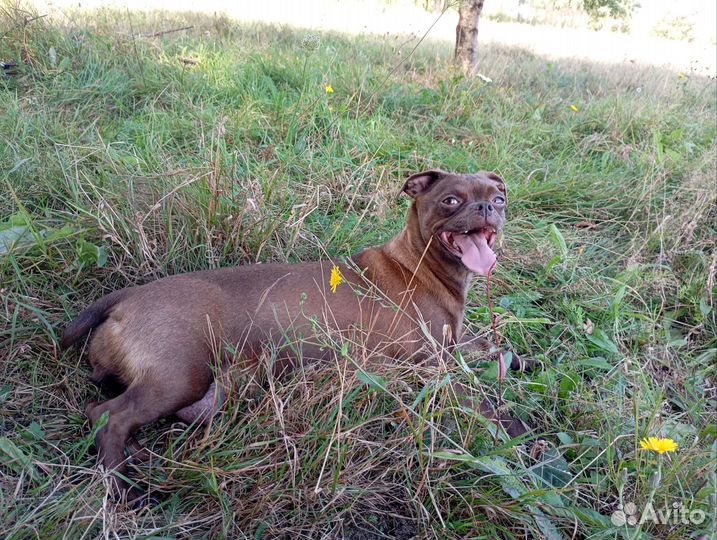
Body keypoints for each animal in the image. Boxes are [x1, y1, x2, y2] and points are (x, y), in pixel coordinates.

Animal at [61, 171, 524, 496]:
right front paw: (512, 430)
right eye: (451, 200)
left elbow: (492, 344)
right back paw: (122, 486)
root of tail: (124, 299)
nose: (488, 209)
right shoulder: (433, 364)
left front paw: (514, 359)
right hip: (179, 377)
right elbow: (481, 401)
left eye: (499, 198)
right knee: (109, 415)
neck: (419, 265)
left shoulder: (453, 345)